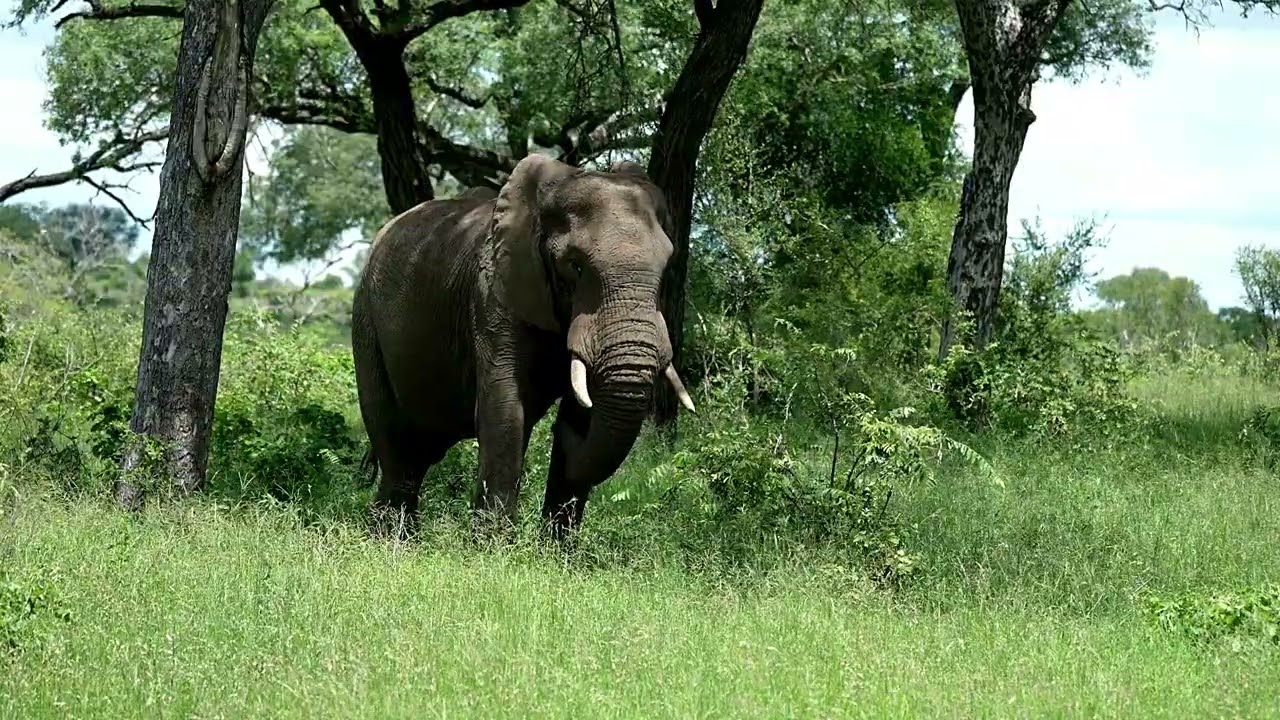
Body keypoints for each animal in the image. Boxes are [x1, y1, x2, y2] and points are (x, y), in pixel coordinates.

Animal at [351, 153, 696, 538]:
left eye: (666, 268)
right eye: (575, 266)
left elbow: (583, 410)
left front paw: (556, 551)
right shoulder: (495, 294)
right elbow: (506, 410)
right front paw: (495, 547)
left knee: (420, 451)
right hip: (366, 319)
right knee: (397, 447)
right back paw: (390, 541)